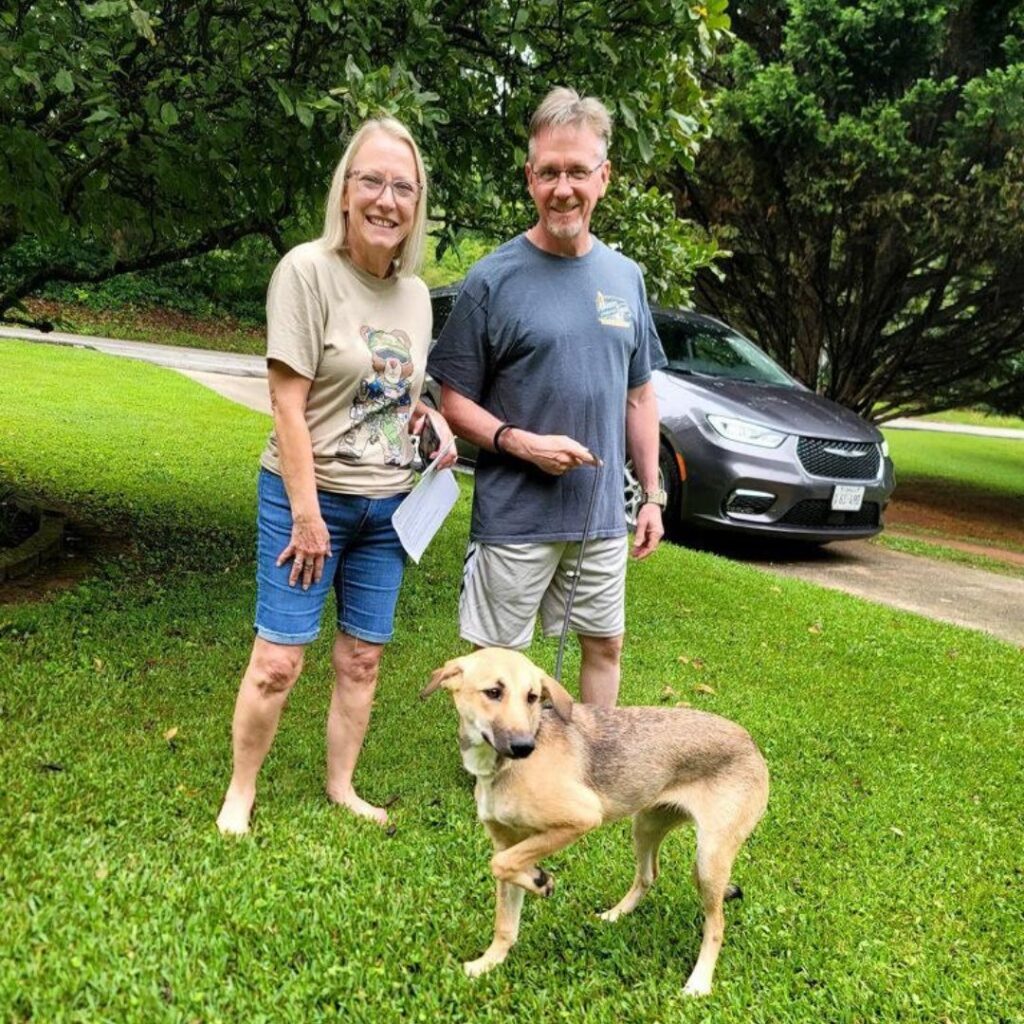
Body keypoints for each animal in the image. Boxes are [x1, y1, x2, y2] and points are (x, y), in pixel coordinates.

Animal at [421, 647, 770, 991]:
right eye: (493, 692)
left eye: (532, 697)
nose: (524, 747)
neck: (501, 769)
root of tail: (750, 742)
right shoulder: (507, 841)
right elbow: (505, 917)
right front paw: (489, 963)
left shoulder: (581, 818)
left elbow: (502, 864)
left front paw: (540, 880)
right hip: (646, 826)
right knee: (648, 875)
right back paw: (615, 915)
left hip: (709, 859)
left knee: (716, 925)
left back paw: (699, 983)